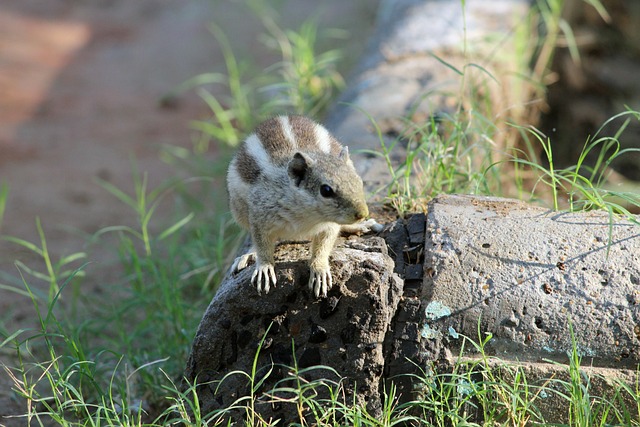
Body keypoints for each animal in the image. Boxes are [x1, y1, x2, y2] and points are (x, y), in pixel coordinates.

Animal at [226, 115, 380, 300]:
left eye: (359, 181)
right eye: (326, 190)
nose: (362, 214)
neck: (308, 215)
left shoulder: (329, 226)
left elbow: (324, 246)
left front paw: (320, 270)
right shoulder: (259, 214)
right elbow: (261, 243)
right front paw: (264, 267)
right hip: (239, 209)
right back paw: (248, 254)